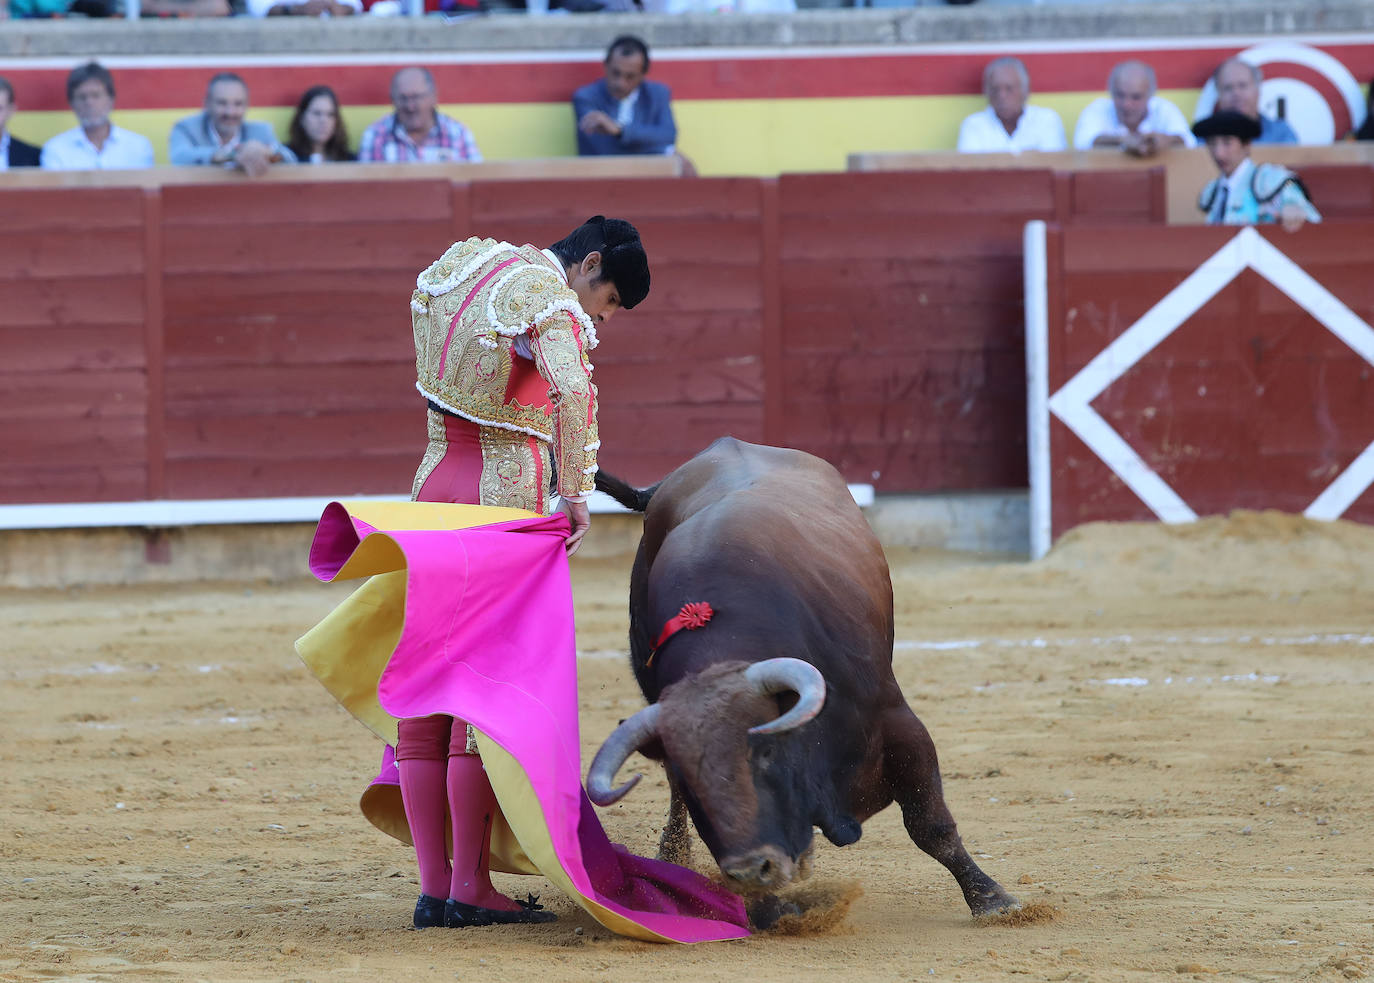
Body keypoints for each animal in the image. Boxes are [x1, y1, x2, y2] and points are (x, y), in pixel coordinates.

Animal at [585, 442, 1016, 918]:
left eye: (766, 752)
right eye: (695, 778)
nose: (752, 869)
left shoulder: (899, 723)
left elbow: (930, 824)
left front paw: (992, 899)